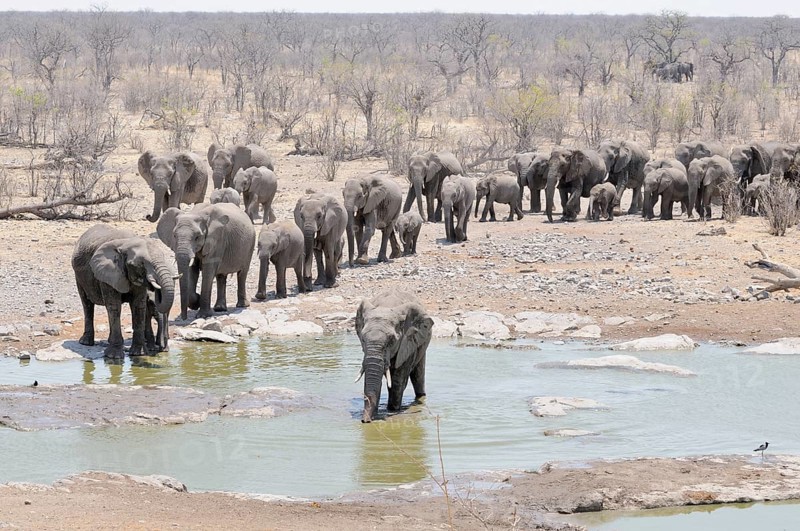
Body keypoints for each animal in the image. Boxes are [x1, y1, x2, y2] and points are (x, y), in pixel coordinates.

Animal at [72, 224, 176, 358]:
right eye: (141, 264)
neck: (126, 243)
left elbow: (138, 306)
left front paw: (138, 354)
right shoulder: (107, 273)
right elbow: (114, 306)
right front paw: (114, 356)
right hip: (79, 277)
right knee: (87, 304)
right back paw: (86, 342)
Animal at [355, 289, 433, 423]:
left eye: (391, 341)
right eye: (363, 339)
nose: (365, 421)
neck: (387, 306)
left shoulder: (407, 342)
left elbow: (398, 380)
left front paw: (392, 411)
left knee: (418, 375)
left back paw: (420, 398)